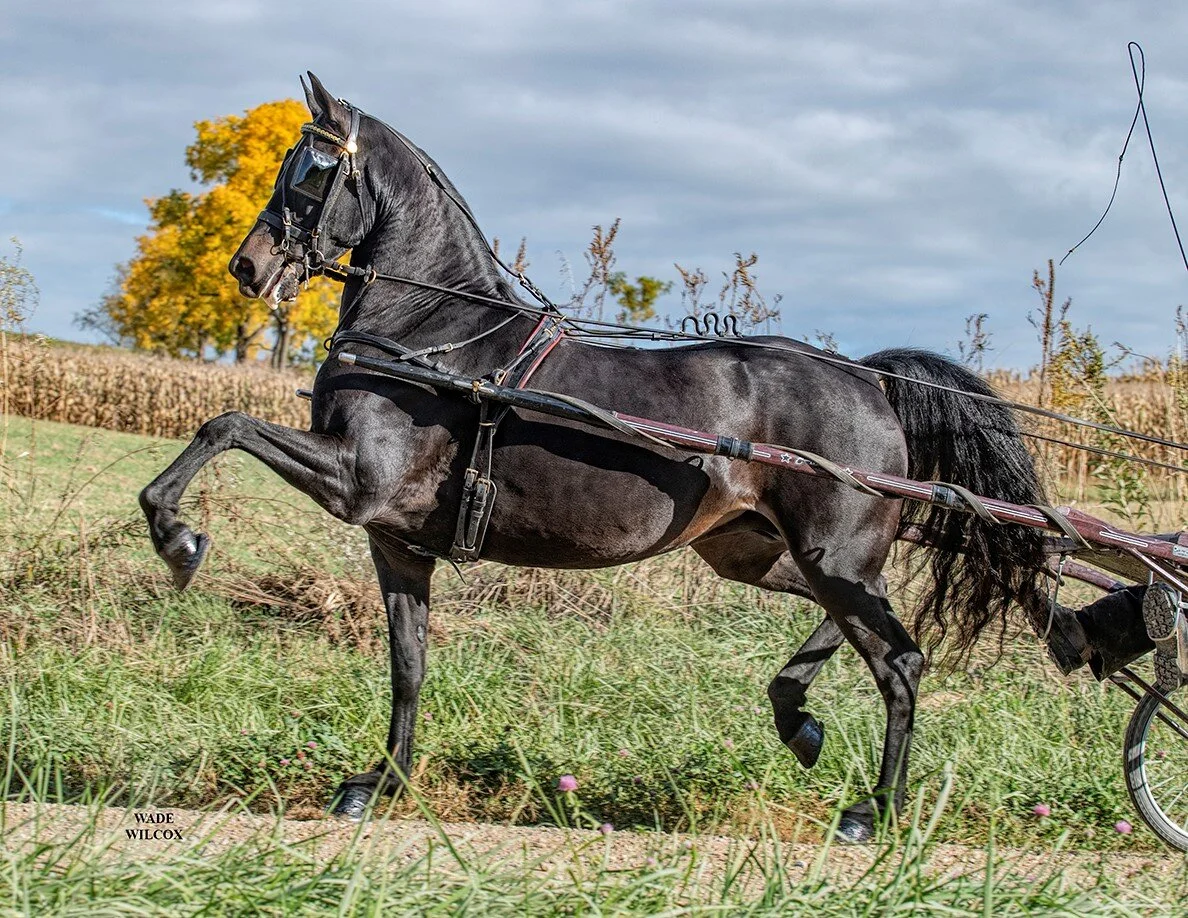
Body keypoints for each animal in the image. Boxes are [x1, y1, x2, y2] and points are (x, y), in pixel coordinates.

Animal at [139, 72, 1048, 842]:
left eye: (311, 171)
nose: (247, 266)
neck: (431, 337)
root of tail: (869, 377)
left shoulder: (357, 482)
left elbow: (223, 424)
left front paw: (177, 539)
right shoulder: (395, 541)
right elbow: (409, 666)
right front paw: (378, 784)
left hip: (832, 554)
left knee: (899, 659)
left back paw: (875, 811)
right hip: (757, 552)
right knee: (860, 625)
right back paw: (796, 718)